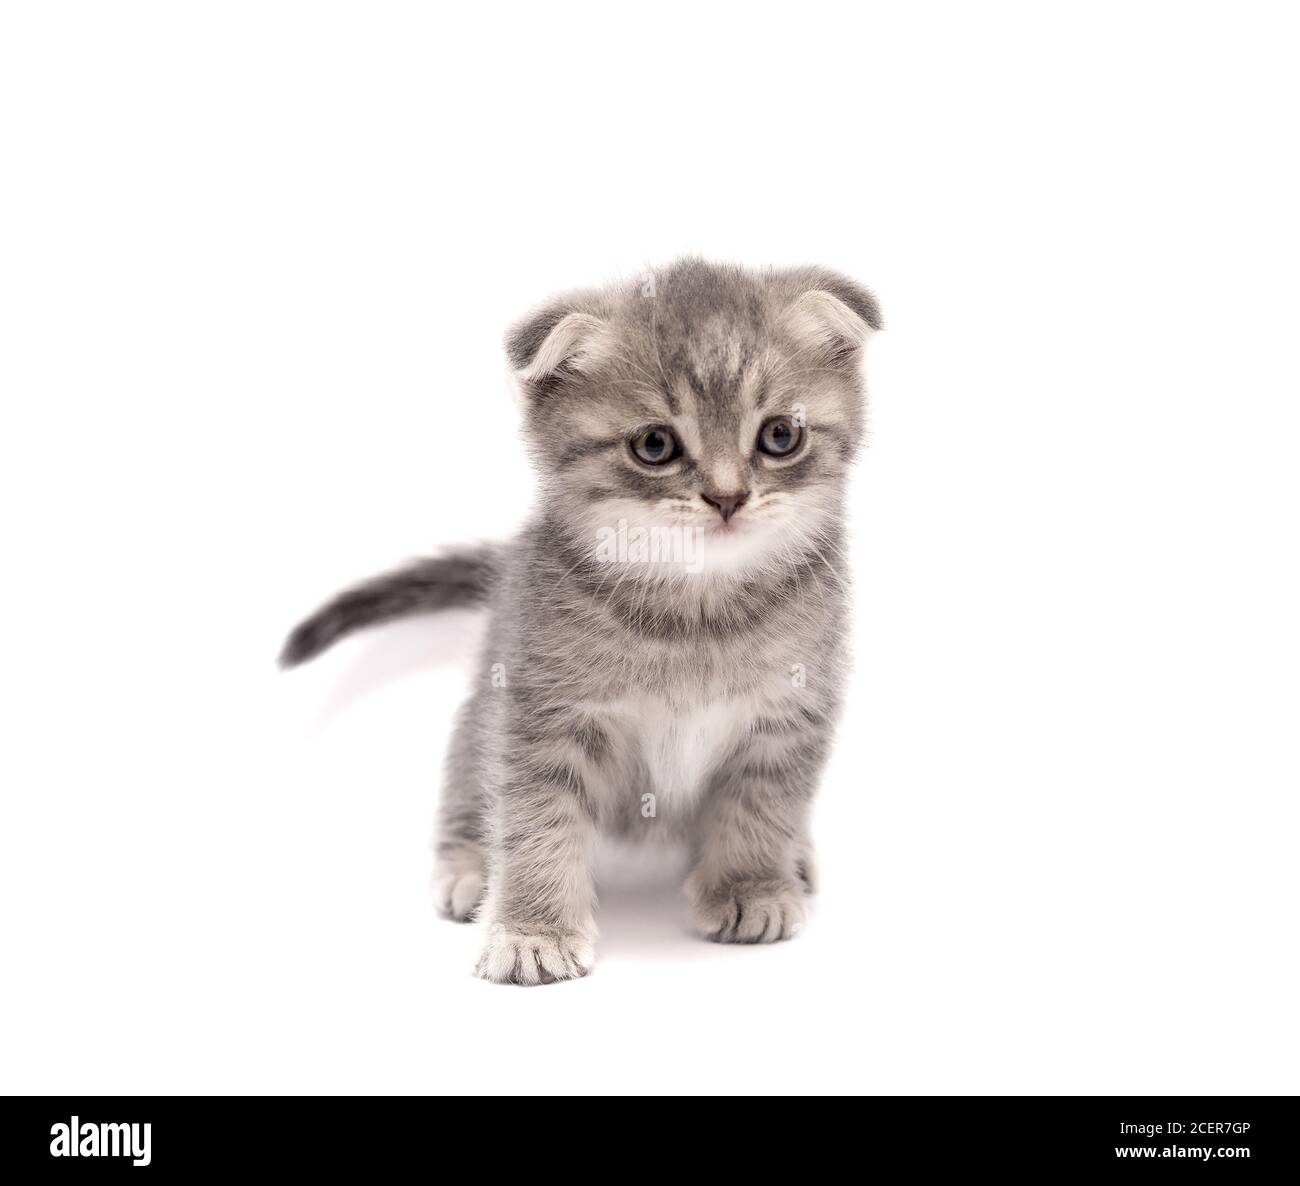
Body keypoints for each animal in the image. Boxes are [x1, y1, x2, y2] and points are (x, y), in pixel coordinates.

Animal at [279, 263, 878, 988]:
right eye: (655, 445)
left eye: (780, 436)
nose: (728, 498)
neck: (694, 618)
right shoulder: (541, 713)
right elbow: (537, 821)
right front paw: (532, 930)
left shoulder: (789, 715)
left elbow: (762, 807)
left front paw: (751, 887)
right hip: (480, 711)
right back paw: (468, 866)